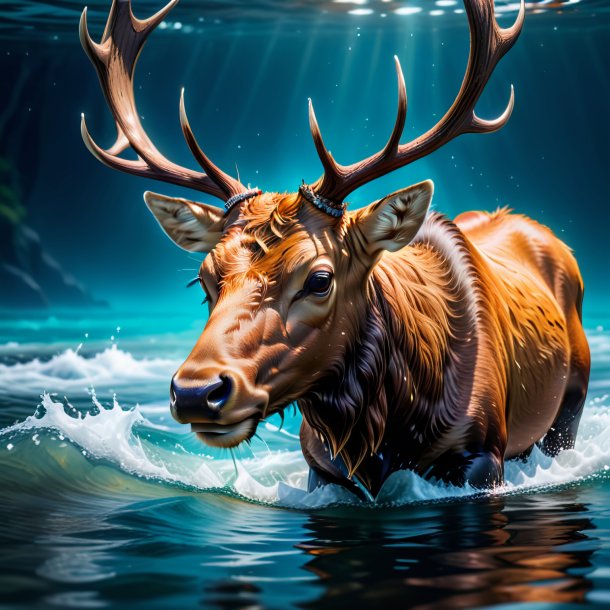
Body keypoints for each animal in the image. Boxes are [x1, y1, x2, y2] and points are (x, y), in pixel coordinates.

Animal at [81, 0, 588, 496]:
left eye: (320, 279)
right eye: (203, 281)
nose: (194, 391)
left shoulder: (483, 452)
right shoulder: (322, 468)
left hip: (571, 400)